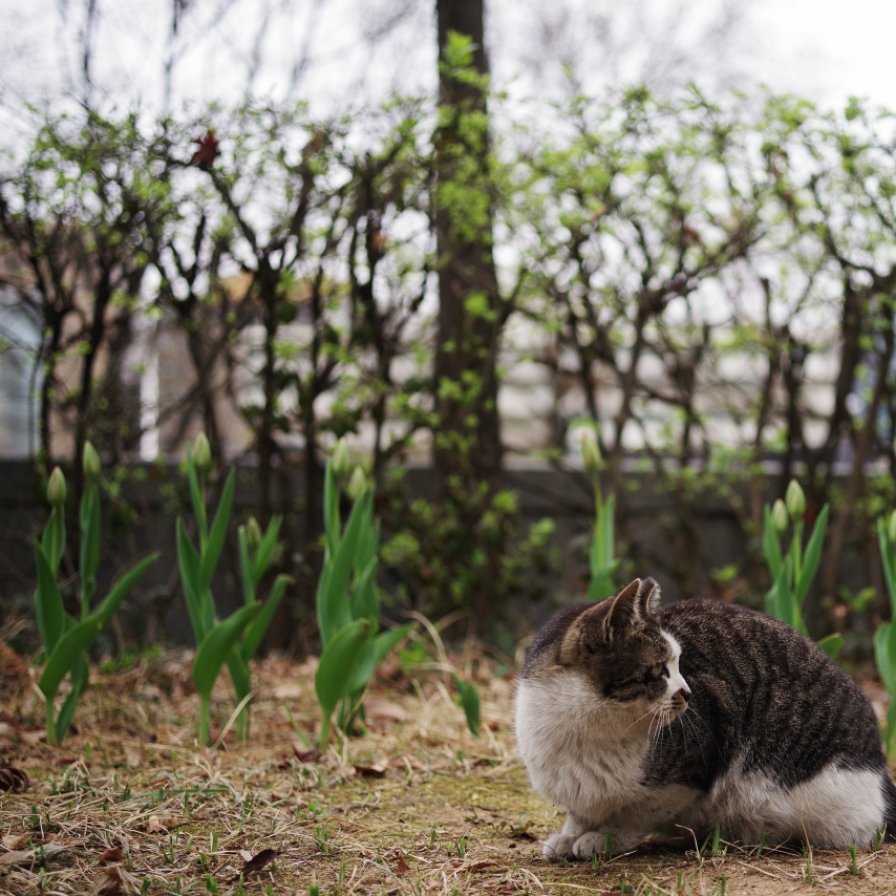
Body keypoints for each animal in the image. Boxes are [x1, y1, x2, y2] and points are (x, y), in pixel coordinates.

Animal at [512, 576, 896, 856]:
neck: (584, 732)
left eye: (681, 666)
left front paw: (604, 839)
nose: (688, 693)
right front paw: (569, 837)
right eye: (659, 669)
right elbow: (578, 815)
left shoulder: (690, 774)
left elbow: (637, 814)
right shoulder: (573, 788)